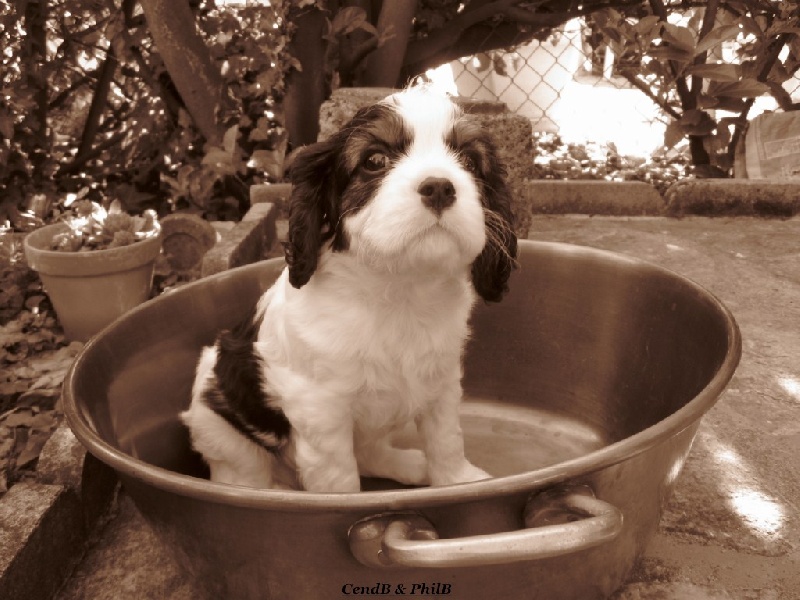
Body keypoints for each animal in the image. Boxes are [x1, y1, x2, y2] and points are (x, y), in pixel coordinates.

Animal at [181, 87, 518, 492]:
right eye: (374, 161)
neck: (399, 287)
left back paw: (410, 465)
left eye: (468, 160)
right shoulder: (320, 409)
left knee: (371, 452)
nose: (439, 187)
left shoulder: (442, 383)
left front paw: (457, 480)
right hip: (220, 425)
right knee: (244, 472)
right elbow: (338, 476)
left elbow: (446, 438)